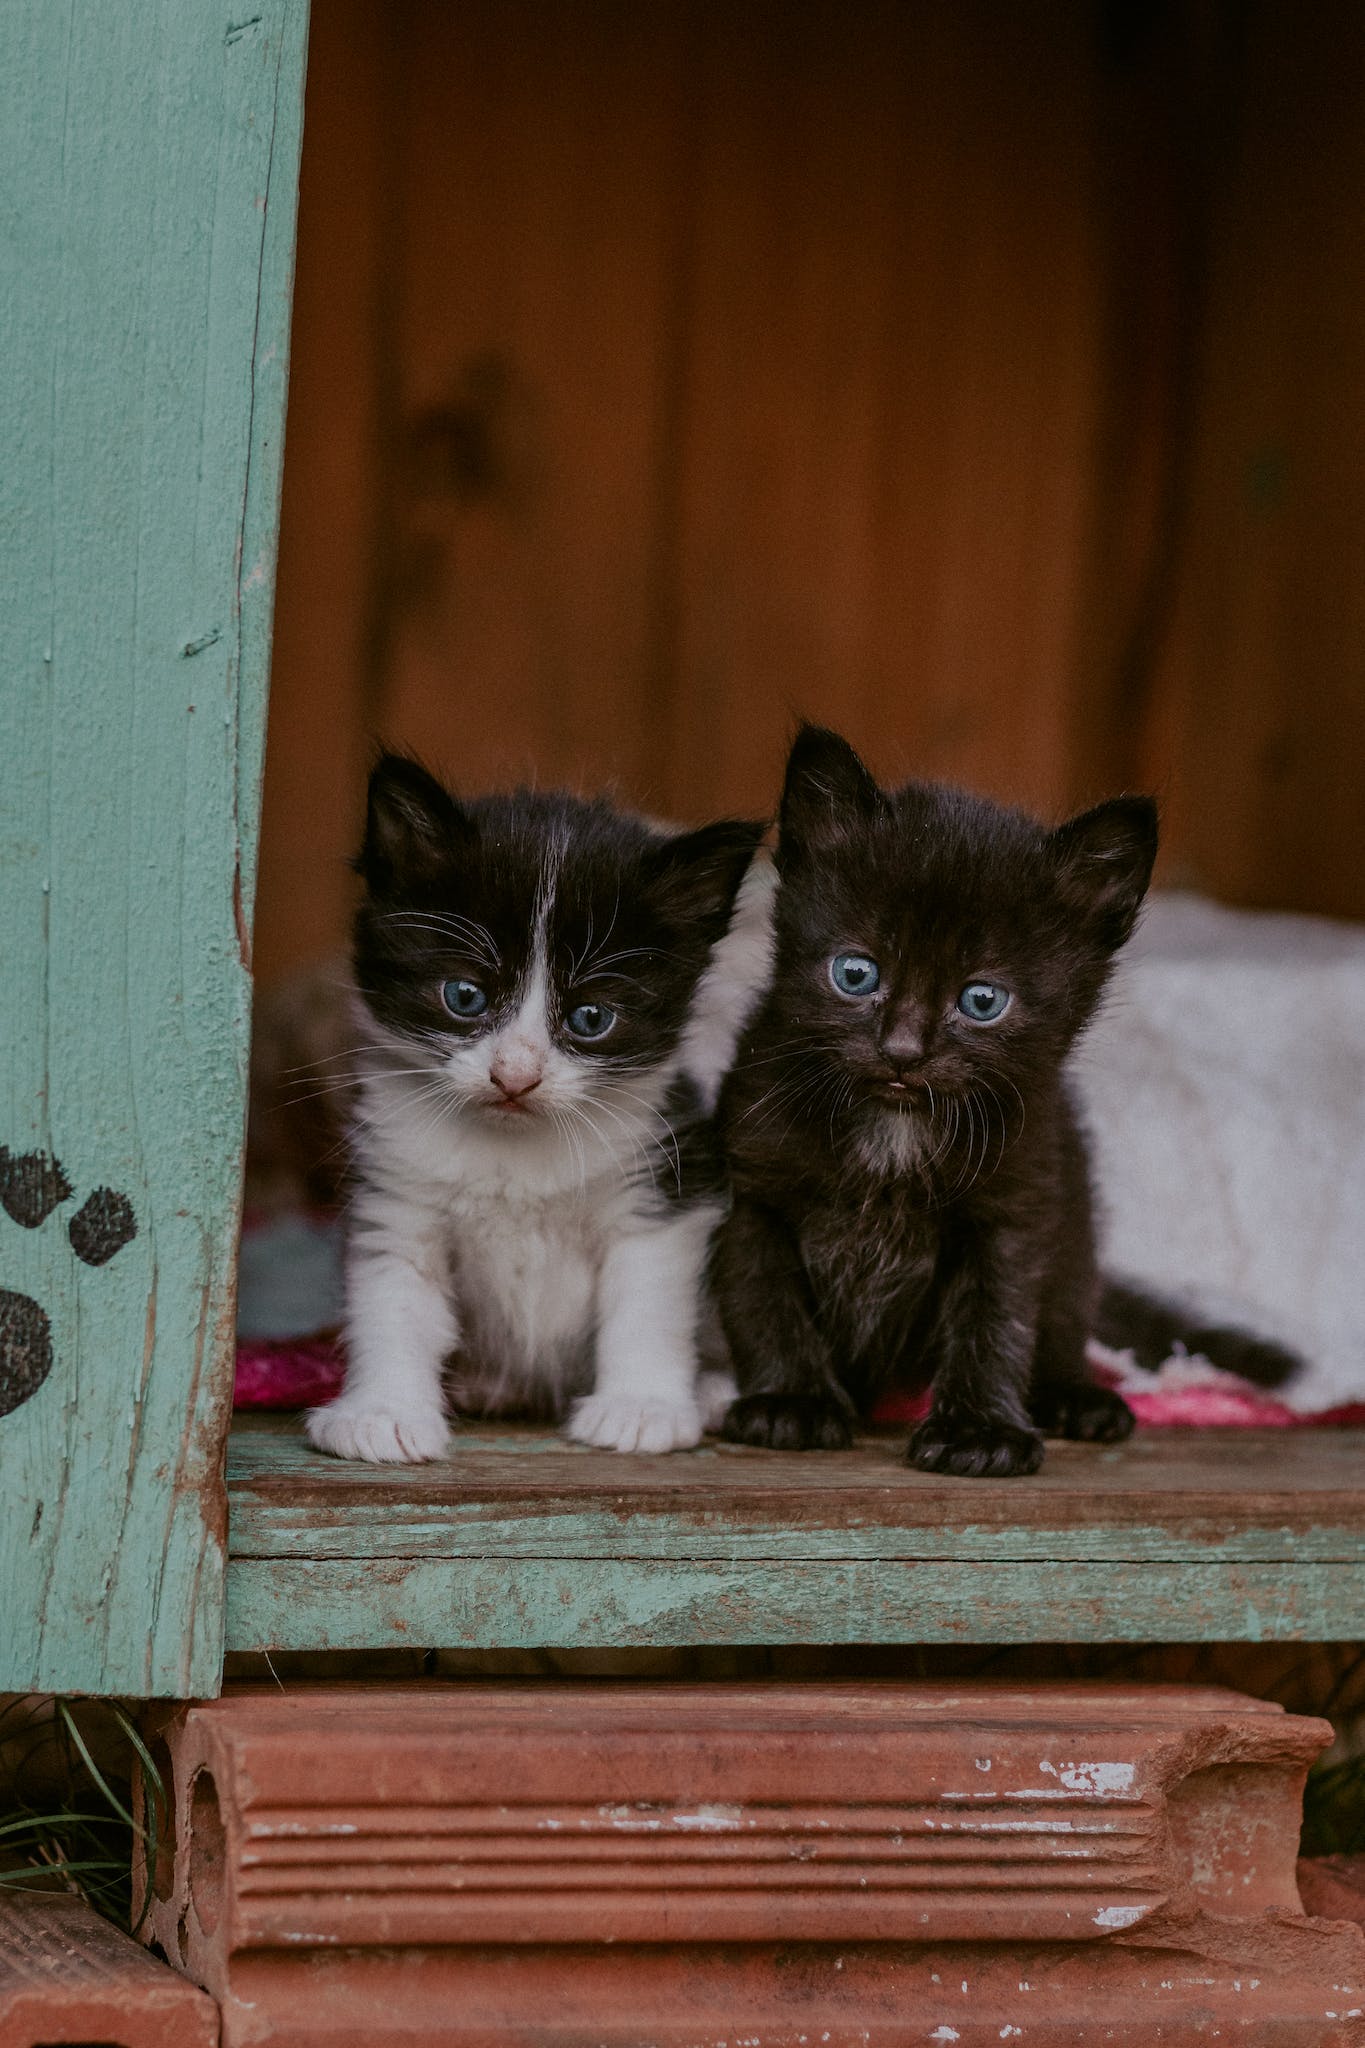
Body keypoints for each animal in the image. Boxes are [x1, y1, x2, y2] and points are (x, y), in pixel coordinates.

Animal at [302, 761, 765, 1466]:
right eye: (464, 996)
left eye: (591, 1018)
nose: (514, 1077)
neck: (515, 1149)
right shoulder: (396, 1192)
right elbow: (393, 1298)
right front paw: (382, 1412)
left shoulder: (664, 1179)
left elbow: (647, 1301)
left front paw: (641, 1408)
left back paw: (713, 1390)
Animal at [712, 729, 1162, 1482]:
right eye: (854, 973)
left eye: (981, 1000)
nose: (901, 1050)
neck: (894, 1132)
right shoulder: (753, 1190)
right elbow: (762, 1296)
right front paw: (791, 1402)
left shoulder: (1015, 1206)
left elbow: (995, 1318)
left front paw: (980, 1430)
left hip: (1075, 1221)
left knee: (1065, 1312)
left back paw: (1074, 1396)